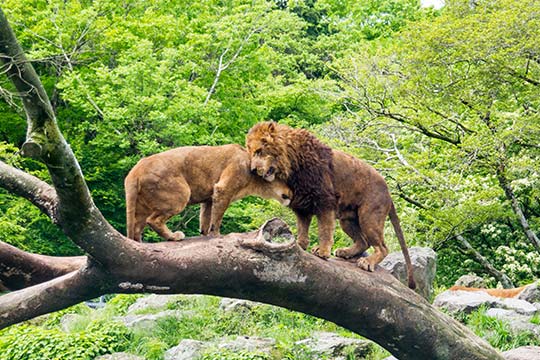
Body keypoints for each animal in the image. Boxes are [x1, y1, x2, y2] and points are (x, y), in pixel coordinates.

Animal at [124, 145, 292, 243]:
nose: (292, 194)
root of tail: (134, 171)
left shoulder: (209, 197)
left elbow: (206, 216)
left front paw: (204, 233)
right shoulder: (224, 188)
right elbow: (217, 217)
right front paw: (216, 235)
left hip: (141, 206)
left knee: (137, 227)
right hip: (181, 193)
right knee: (153, 220)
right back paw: (174, 236)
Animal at [247, 122, 416, 288]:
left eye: (259, 151)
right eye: (250, 153)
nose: (253, 170)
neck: (291, 167)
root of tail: (388, 192)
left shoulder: (325, 201)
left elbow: (325, 229)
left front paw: (323, 251)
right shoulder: (302, 205)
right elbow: (302, 228)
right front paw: (301, 246)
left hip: (369, 216)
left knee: (382, 247)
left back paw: (367, 262)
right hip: (347, 220)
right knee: (363, 242)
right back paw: (345, 252)